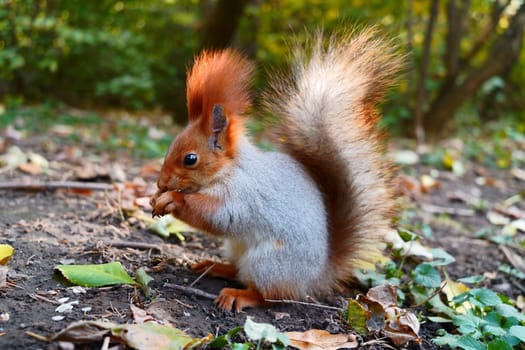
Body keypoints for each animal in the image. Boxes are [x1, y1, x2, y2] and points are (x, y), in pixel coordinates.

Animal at [150, 27, 402, 312]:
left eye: (190, 159)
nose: (161, 183)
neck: (231, 169)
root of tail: (315, 277)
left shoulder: (245, 196)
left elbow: (219, 216)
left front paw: (173, 199)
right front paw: (155, 198)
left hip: (269, 263)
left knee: (270, 295)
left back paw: (239, 295)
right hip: (238, 250)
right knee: (239, 271)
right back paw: (215, 266)